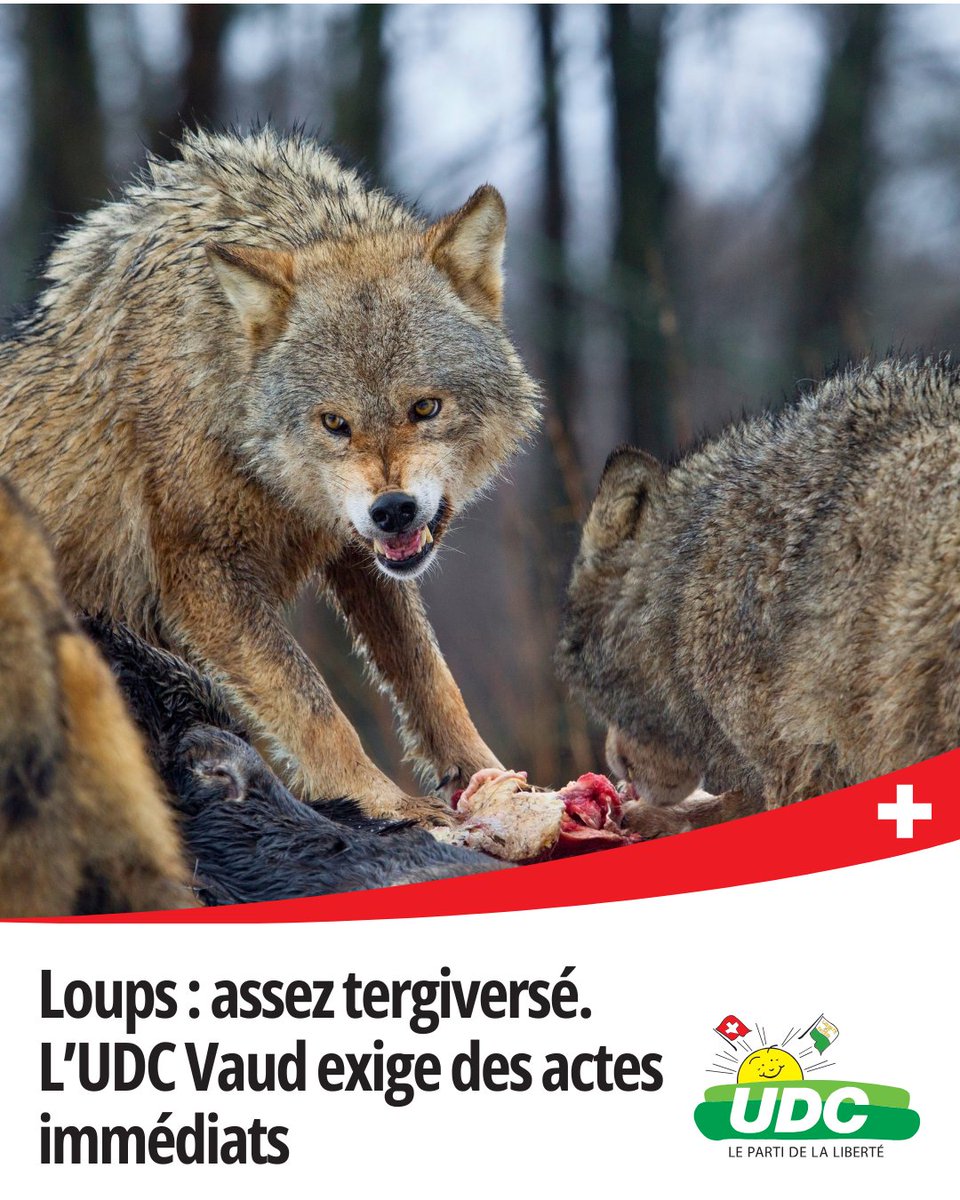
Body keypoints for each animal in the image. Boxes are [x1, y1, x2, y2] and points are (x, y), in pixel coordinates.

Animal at [0, 127, 541, 825]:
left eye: (425, 408)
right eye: (334, 422)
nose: (392, 509)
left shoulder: (359, 554)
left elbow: (431, 678)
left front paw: (491, 778)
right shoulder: (203, 577)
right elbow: (313, 705)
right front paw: (382, 800)